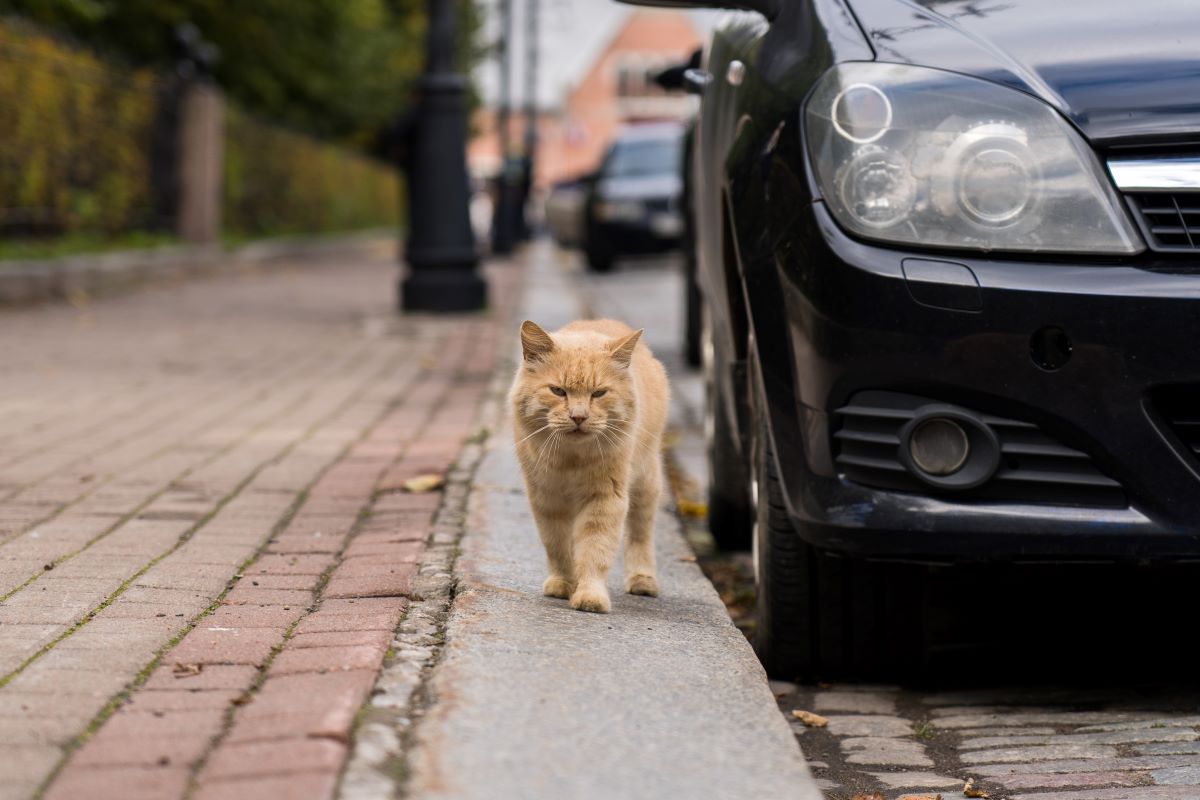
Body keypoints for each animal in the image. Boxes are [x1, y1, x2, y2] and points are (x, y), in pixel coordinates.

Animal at [511, 319, 672, 614]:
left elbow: (595, 550)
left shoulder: (605, 499)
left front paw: (589, 596)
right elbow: (557, 545)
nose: (578, 417)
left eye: (598, 393)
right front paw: (564, 583)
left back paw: (642, 580)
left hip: (646, 484)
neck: (571, 460)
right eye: (558, 391)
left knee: (640, 534)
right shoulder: (547, 499)